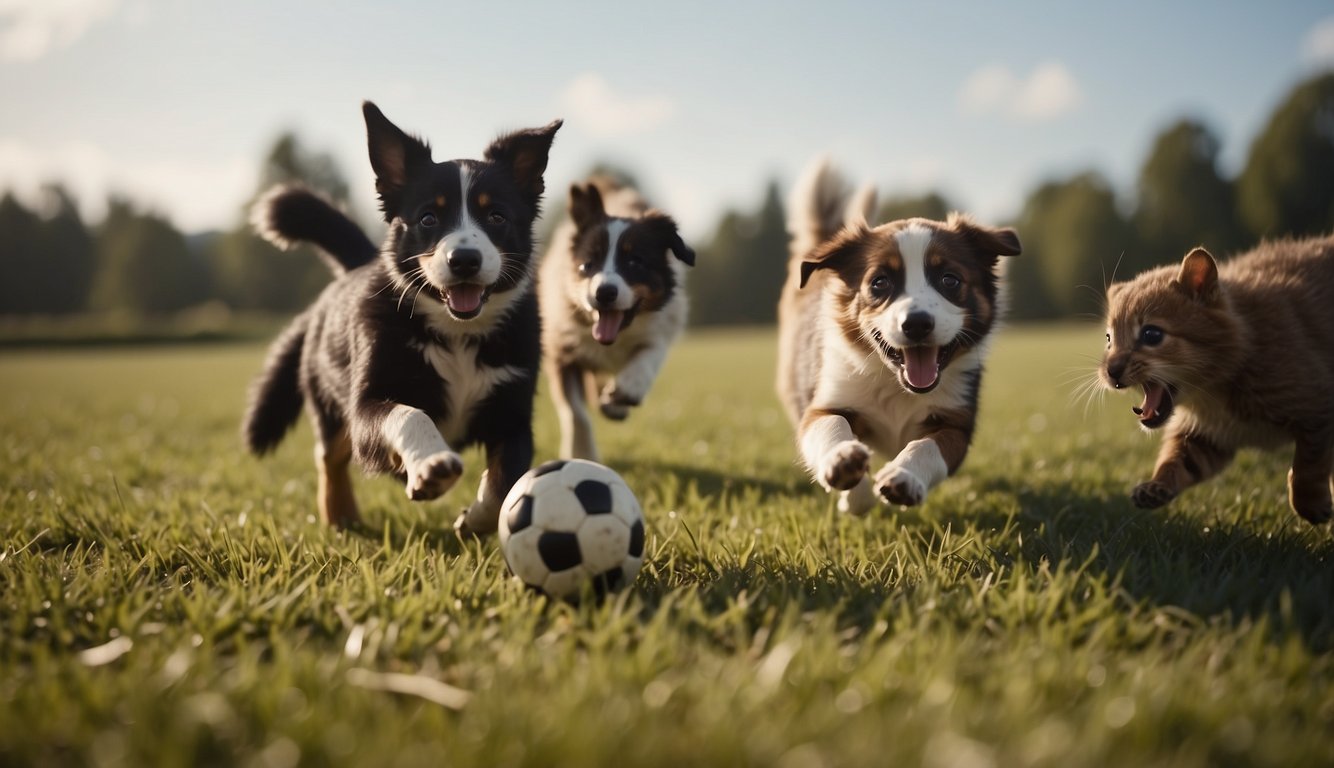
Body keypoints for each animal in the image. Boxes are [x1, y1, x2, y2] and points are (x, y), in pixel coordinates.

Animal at [242, 100, 560, 533]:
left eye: (496, 216)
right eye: (428, 218)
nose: (464, 260)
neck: (457, 334)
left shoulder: (513, 413)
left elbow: (506, 480)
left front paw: (475, 518)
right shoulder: (368, 402)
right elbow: (409, 416)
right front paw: (431, 465)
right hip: (329, 401)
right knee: (330, 457)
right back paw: (341, 516)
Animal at [536, 177, 693, 458]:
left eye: (635, 261)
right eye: (586, 265)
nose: (604, 292)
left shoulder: (664, 324)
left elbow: (649, 353)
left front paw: (626, 391)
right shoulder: (561, 349)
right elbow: (575, 412)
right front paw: (581, 454)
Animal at [773, 158, 1019, 512]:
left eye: (950, 279)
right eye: (880, 282)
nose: (916, 323)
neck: (896, 384)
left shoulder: (956, 420)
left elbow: (928, 447)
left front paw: (904, 478)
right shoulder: (826, 401)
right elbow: (832, 425)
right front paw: (847, 472)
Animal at [1093, 234, 1334, 522]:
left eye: (1152, 335)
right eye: (1109, 339)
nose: (1111, 370)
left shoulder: (1316, 407)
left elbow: (1308, 463)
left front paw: (1310, 504)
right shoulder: (1205, 436)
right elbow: (1176, 462)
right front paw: (1157, 486)